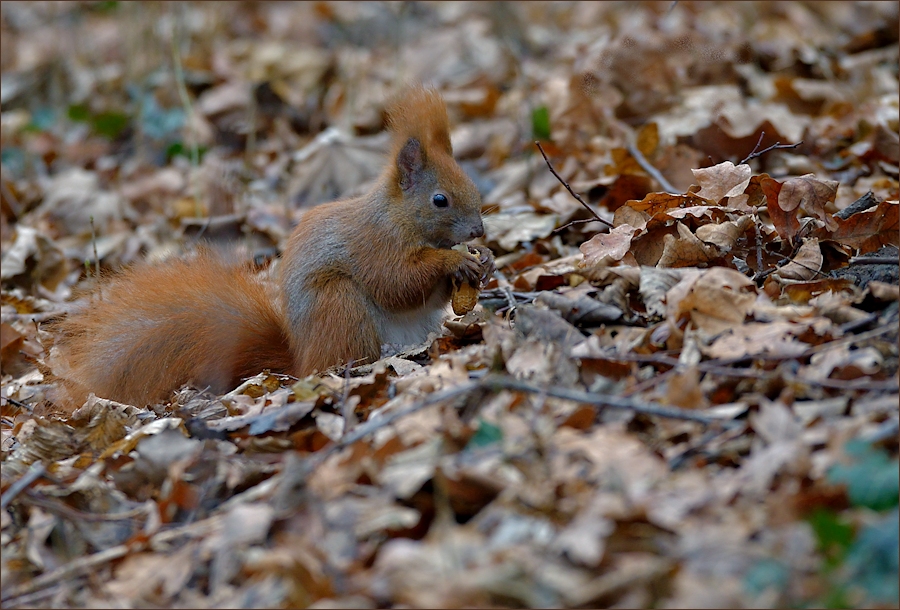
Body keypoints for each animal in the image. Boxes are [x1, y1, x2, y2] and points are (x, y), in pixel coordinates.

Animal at [53, 85, 492, 406]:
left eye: (472, 184)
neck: (401, 219)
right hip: (337, 304)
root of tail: (301, 360)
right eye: (439, 200)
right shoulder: (374, 245)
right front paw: (452, 261)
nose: (478, 230)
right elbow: (397, 283)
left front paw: (483, 261)